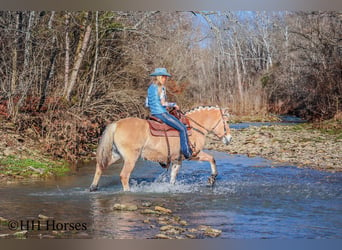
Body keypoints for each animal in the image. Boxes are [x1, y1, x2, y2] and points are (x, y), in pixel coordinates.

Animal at [89, 105, 232, 191]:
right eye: (226, 122)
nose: (229, 138)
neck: (193, 127)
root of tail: (116, 124)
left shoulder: (177, 159)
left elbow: (173, 176)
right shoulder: (193, 154)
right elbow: (212, 159)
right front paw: (212, 179)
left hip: (115, 154)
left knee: (100, 166)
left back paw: (93, 187)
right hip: (131, 158)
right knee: (124, 176)